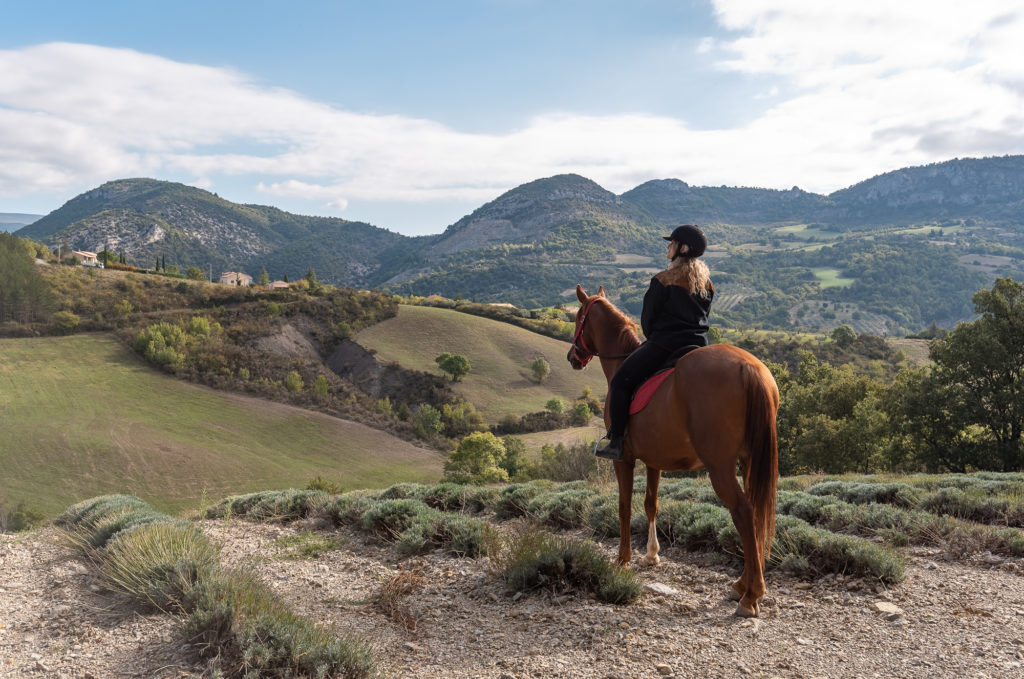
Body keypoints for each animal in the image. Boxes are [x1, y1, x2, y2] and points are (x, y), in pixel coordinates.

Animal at [569, 284, 774, 618]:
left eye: (577, 319)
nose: (573, 357)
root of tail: (749, 367)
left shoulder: (624, 460)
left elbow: (624, 506)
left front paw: (623, 558)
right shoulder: (654, 461)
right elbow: (651, 504)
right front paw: (652, 554)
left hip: (720, 467)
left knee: (742, 513)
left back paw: (751, 595)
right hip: (749, 462)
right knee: (754, 511)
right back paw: (741, 585)